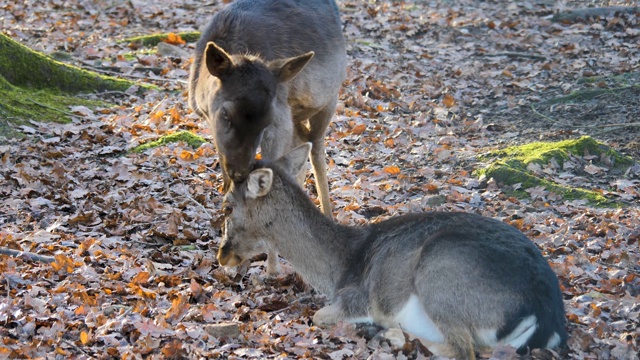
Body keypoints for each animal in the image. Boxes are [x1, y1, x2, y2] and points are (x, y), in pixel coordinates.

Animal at [188, 0, 348, 274]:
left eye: (267, 119)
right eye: (225, 115)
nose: (241, 173)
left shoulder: (281, 119)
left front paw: (271, 268)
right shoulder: (213, 128)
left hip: (329, 99)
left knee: (316, 148)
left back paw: (326, 216)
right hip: (299, 118)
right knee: (302, 148)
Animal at [218, 144, 568, 360]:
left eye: (227, 206)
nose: (222, 255)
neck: (339, 268)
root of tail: (546, 314)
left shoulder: (357, 297)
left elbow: (319, 315)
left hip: (441, 272)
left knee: (465, 350)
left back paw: (391, 335)